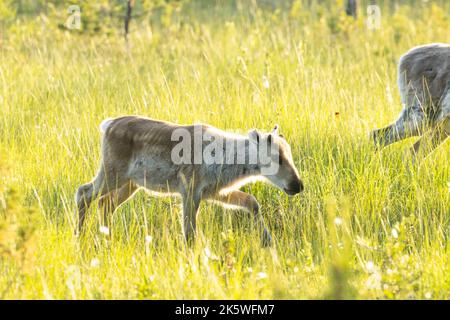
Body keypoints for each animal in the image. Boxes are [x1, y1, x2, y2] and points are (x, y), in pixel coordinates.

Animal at [75, 116, 304, 246]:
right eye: (277, 157)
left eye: (290, 154)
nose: (298, 185)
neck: (225, 160)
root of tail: (107, 125)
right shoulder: (190, 190)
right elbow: (189, 232)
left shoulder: (214, 192)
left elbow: (252, 202)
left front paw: (268, 240)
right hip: (112, 171)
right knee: (84, 192)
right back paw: (79, 236)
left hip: (131, 183)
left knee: (105, 203)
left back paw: (106, 238)